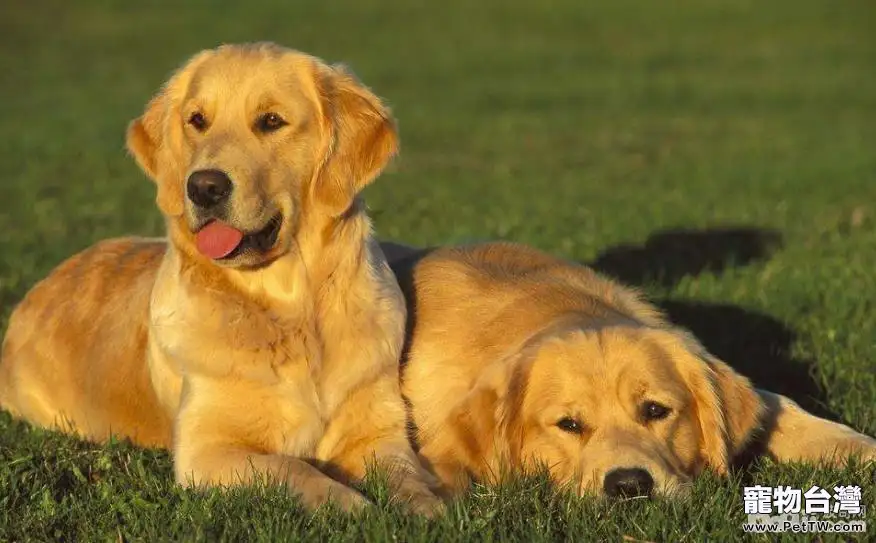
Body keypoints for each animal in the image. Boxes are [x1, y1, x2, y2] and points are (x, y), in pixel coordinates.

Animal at [0, 42, 442, 516]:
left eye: (271, 121)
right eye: (197, 120)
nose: (204, 187)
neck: (291, 309)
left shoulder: (379, 431)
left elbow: (405, 475)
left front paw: (426, 509)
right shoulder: (207, 450)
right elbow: (291, 467)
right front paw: (350, 504)